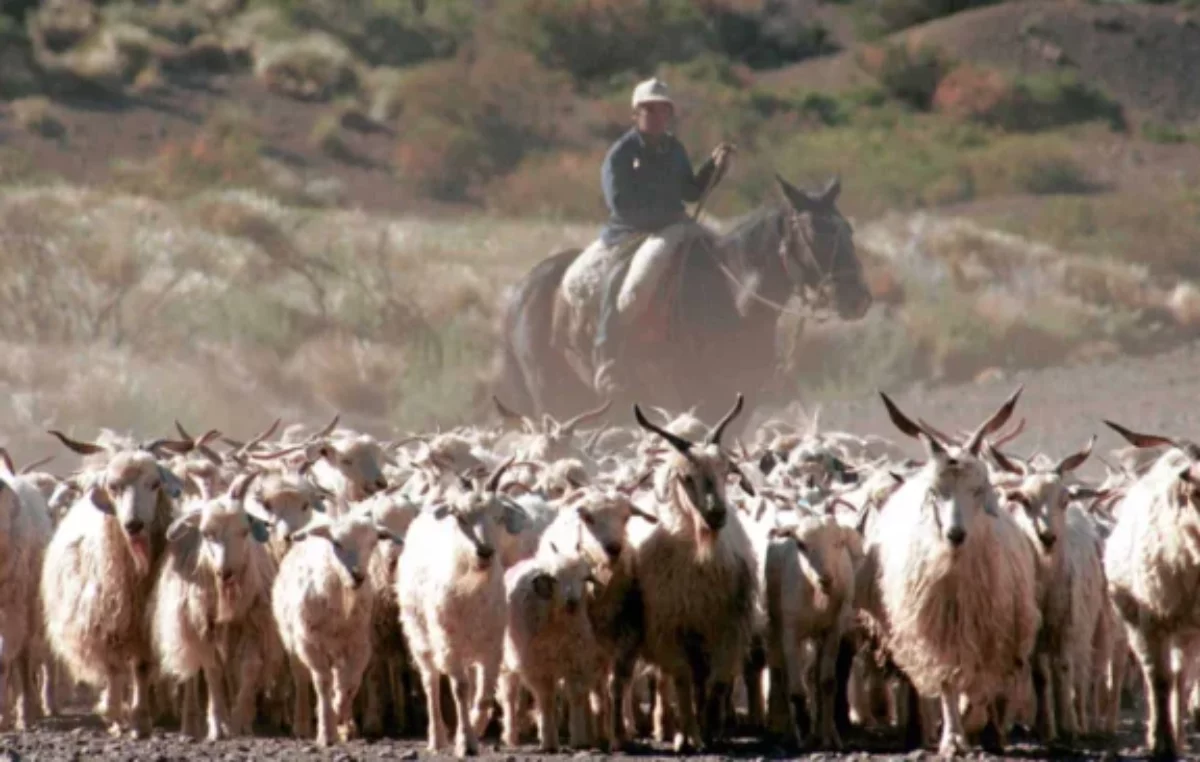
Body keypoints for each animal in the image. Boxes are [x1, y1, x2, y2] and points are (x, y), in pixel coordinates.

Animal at [487, 175, 873, 432]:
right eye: (818, 233)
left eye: (848, 230)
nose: (858, 299)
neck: (731, 302)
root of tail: (521, 290)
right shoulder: (681, 397)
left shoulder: (739, 401)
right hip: (553, 399)